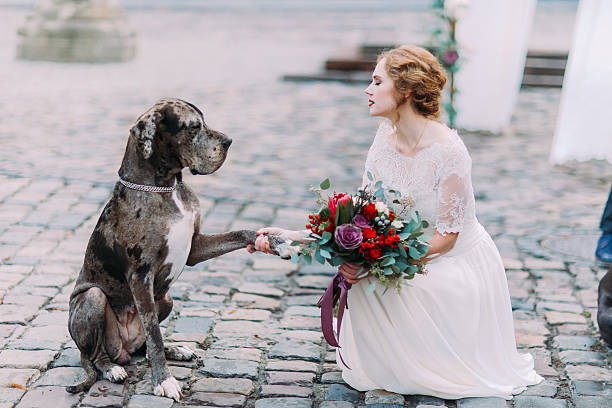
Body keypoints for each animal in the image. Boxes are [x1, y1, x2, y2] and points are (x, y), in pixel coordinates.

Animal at [66, 99, 278, 398]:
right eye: (193, 127)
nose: (228, 141)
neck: (166, 187)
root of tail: (123, 348)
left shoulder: (195, 248)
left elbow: (240, 233)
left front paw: (272, 240)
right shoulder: (140, 275)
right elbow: (154, 333)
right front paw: (163, 381)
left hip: (166, 298)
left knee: (141, 347)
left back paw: (175, 349)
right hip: (94, 298)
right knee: (96, 355)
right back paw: (112, 368)